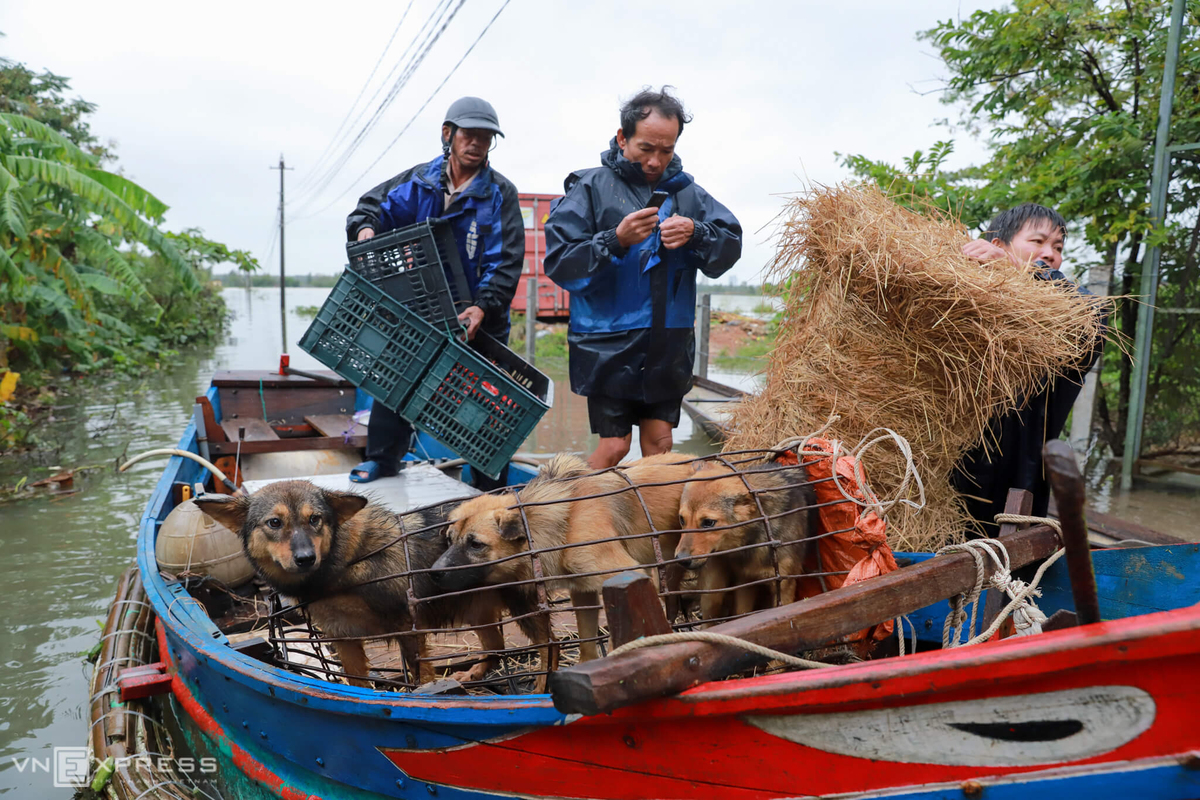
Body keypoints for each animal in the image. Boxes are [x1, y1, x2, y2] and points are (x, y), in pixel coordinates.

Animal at [196, 479, 549, 690]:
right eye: (274, 523)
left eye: (315, 519)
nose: (305, 558)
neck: (342, 565)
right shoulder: (344, 637)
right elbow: (359, 684)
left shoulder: (408, 625)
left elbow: (421, 676)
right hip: (478, 610)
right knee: (497, 649)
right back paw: (474, 673)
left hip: (523, 606)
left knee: (548, 648)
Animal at [432, 450, 696, 662]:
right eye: (450, 540)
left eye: (476, 544)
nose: (434, 573)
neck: (565, 522)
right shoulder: (583, 591)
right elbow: (587, 642)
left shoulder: (627, 574)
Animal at [681, 455, 820, 623]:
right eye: (681, 519)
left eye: (708, 522)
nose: (681, 559)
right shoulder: (745, 582)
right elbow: (742, 615)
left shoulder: (784, 585)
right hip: (712, 591)